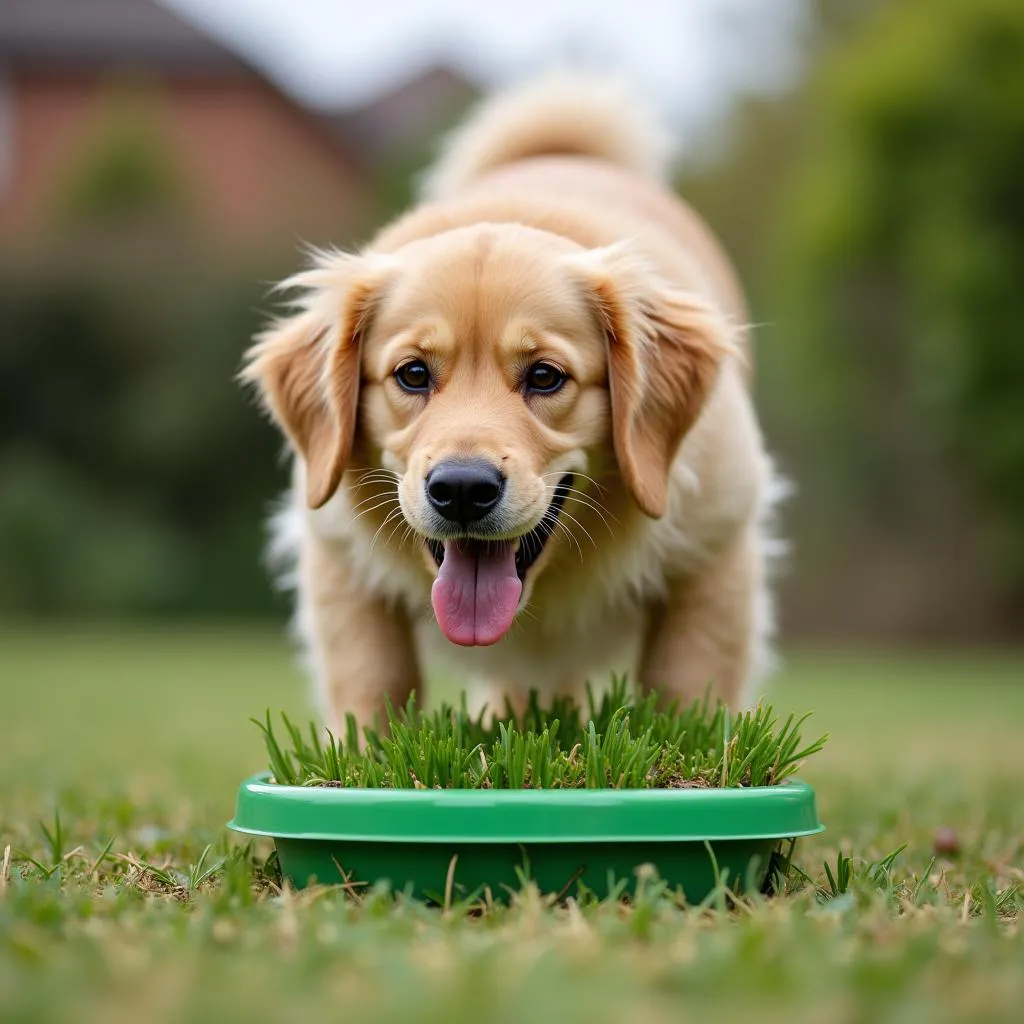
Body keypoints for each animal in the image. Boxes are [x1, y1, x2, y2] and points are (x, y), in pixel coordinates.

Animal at [239, 72, 782, 729]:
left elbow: (687, 691)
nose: (461, 490)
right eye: (412, 374)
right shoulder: (336, 559)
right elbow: (372, 685)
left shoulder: (717, 555)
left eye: (545, 376)